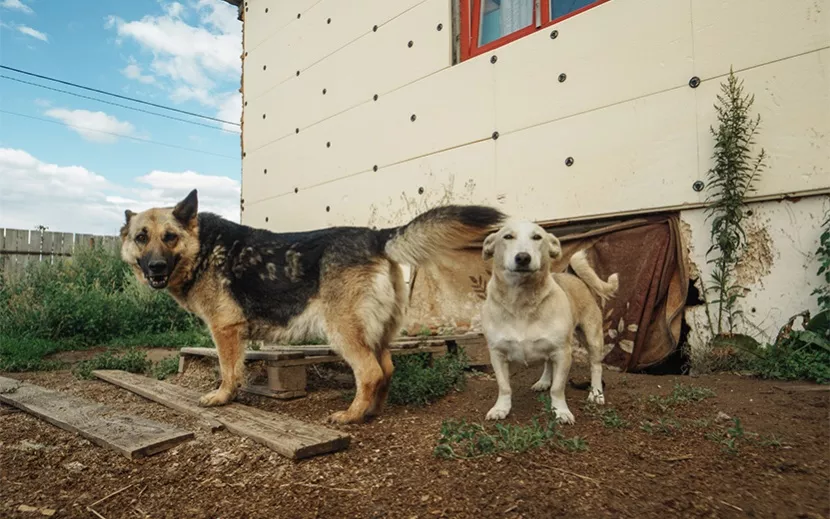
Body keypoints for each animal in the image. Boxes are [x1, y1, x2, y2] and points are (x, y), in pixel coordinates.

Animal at [119, 189, 504, 424]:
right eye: (141, 238)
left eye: (170, 237)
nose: (155, 268)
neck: (202, 247)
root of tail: (376, 235)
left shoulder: (225, 329)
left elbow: (228, 371)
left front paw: (223, 397)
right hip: (375, 332)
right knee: (387, 369)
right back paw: (371, 411)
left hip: (342, 331)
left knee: (370, 372)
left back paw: (351, 416)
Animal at [480, 221, 616, 424]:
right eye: (507, 237)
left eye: (537, 237)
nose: (523, 257)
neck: (521, 302)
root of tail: (572, 275)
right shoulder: (497, 354)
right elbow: (504, 386)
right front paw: (501, 408)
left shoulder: (562, 352)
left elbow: (558, 388)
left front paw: (561, 411)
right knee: (547, 364)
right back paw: (543, 381)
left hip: (592, 338)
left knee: (595, 366)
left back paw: (596, 393)